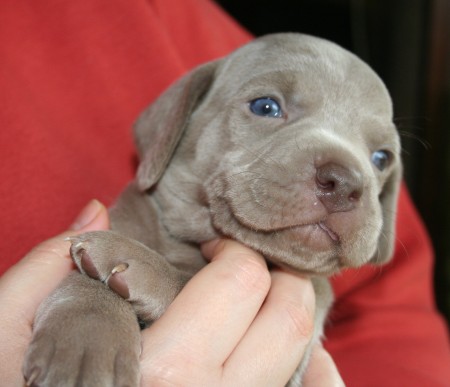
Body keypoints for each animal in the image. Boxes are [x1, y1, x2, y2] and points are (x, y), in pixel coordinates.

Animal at [22, 34, 400, 387]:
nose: (345, 183)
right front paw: (86, 344)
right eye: (266, 106)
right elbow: (86, 288)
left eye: (382, 158)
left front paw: (140, 263)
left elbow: (186, 280)